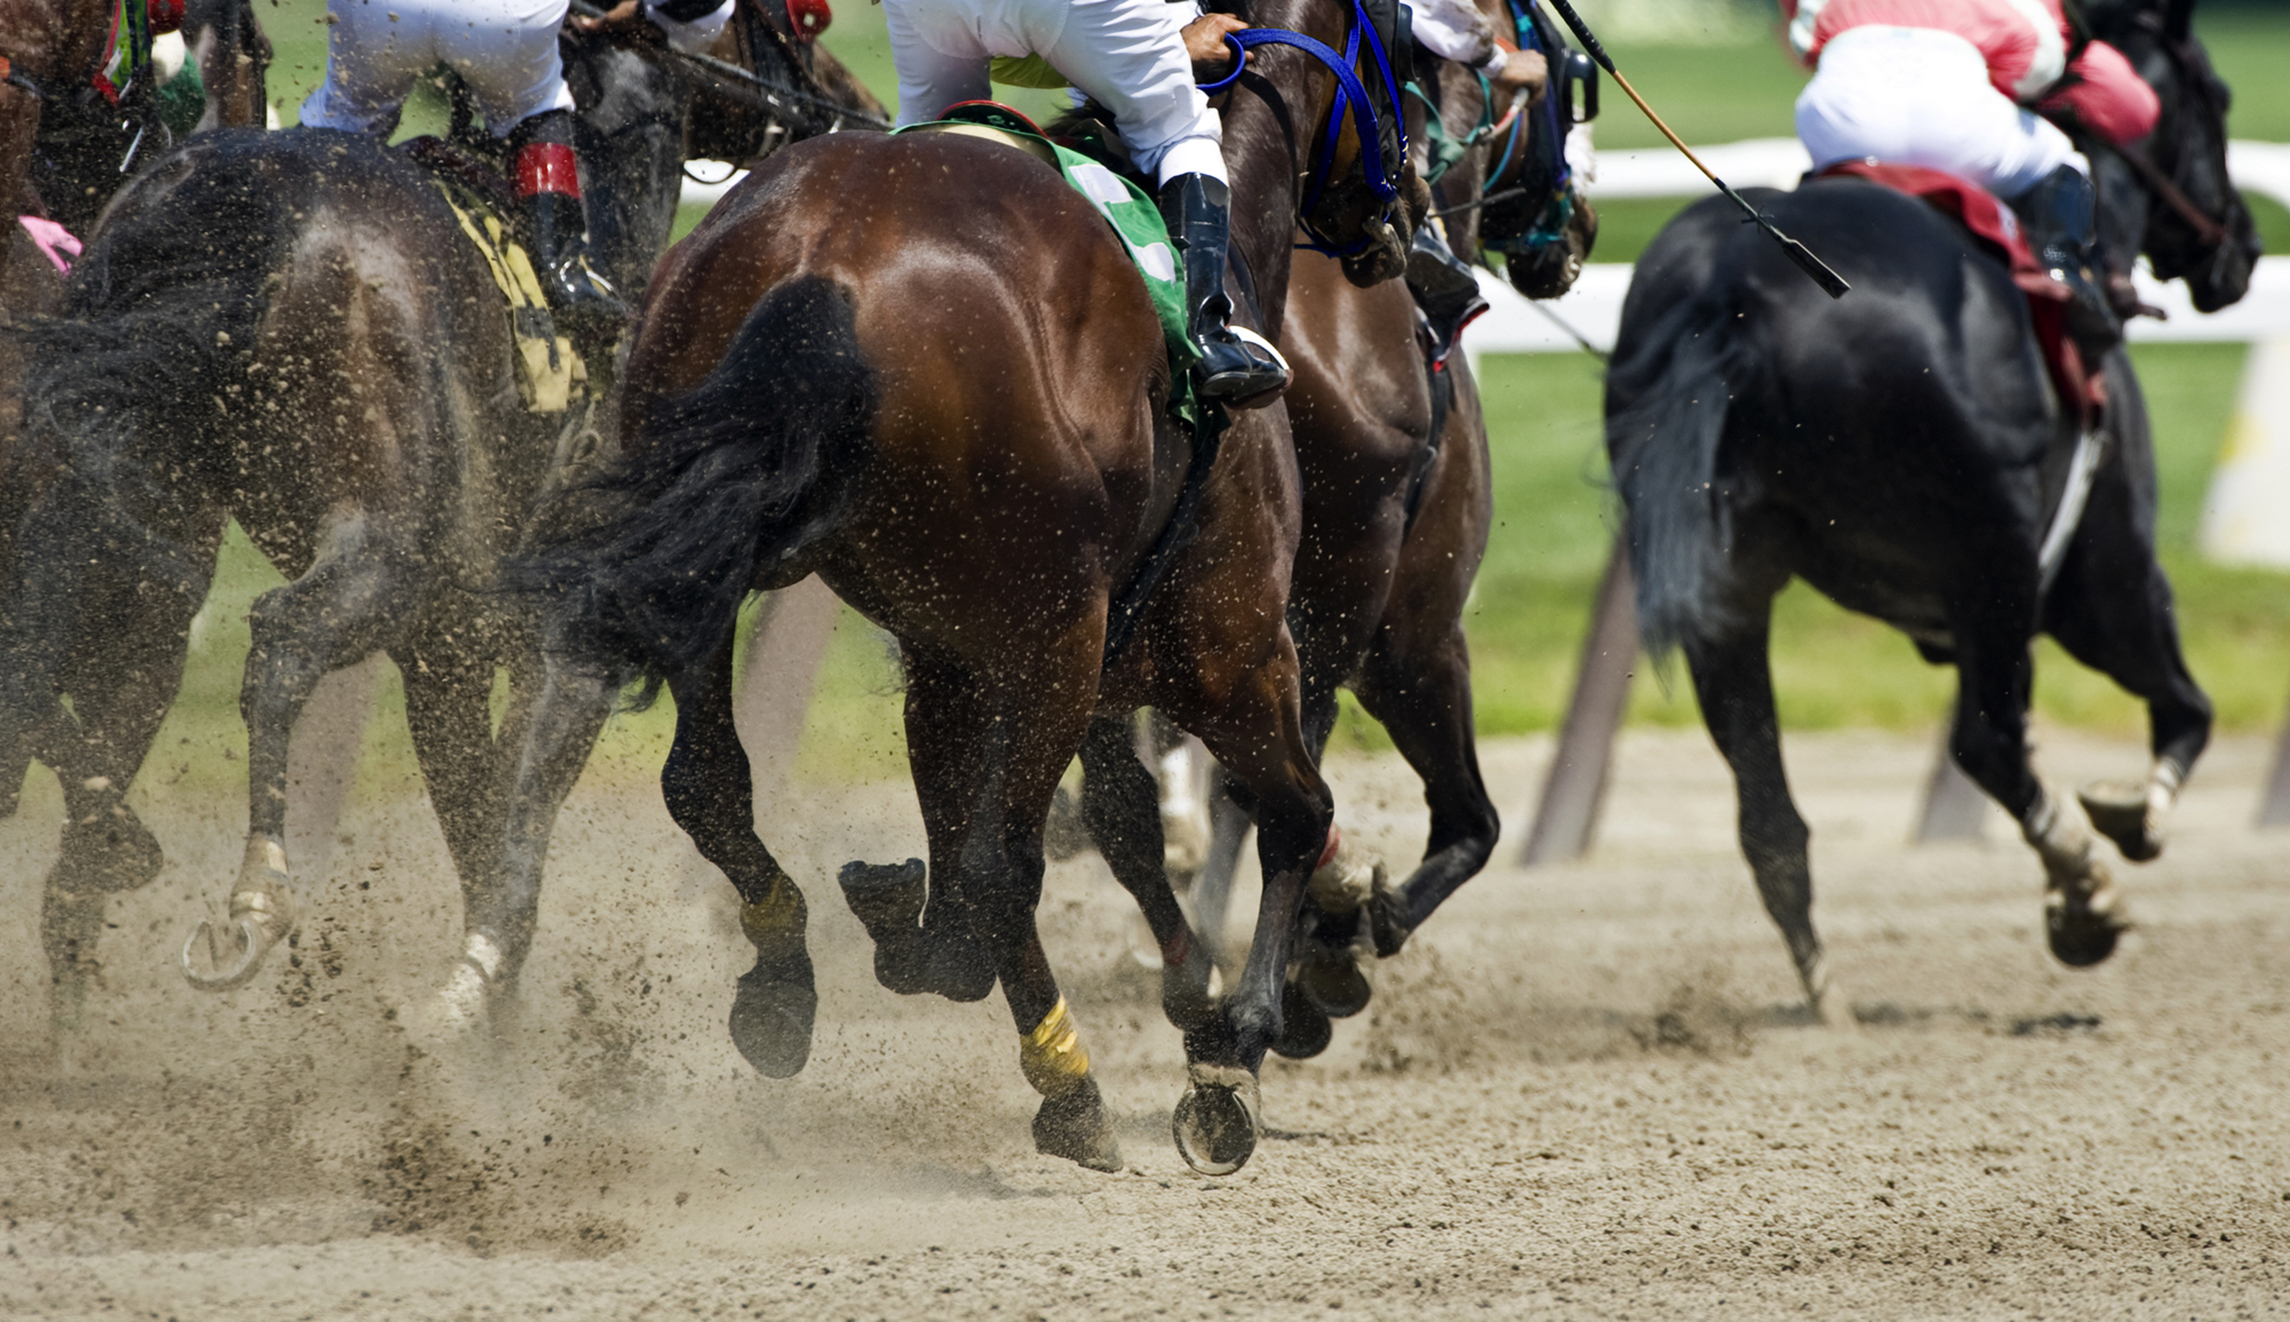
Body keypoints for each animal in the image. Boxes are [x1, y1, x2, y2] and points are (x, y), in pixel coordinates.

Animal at [0, 13, 878, 1022]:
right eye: (790, 18)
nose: (855, 105)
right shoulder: (554, 633)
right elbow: (518, 822)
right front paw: (482, 992)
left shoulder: (444, 650)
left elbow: (477, 817)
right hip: (379, 547)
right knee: (281, 640)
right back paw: (256, 896)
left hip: (124, 509)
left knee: (44, 649)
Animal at [493, 0, 1421, 1175]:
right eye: (1401, 52)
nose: (1409, 222)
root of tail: (830, 258)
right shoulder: (1232, 647)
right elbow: (1293, 811)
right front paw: (1234, 1051)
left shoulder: (949, 650)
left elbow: (979, 845)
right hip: (1065, 633)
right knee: (998, 864)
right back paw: (1068, 1082)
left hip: (711, 548)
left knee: (710, 781)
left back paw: (790, 978)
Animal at [1604, 0, 2258, 1018]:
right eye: (2217, 98)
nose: (2244, 249)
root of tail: (1739, 287)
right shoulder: (2103, 577)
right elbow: (2186, 709)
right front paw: (2127, 824)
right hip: (1997, 562)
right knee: (1987, 742)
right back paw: (2083, 898)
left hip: (1727, 589)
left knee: (1768, 814)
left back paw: (1827, 998)